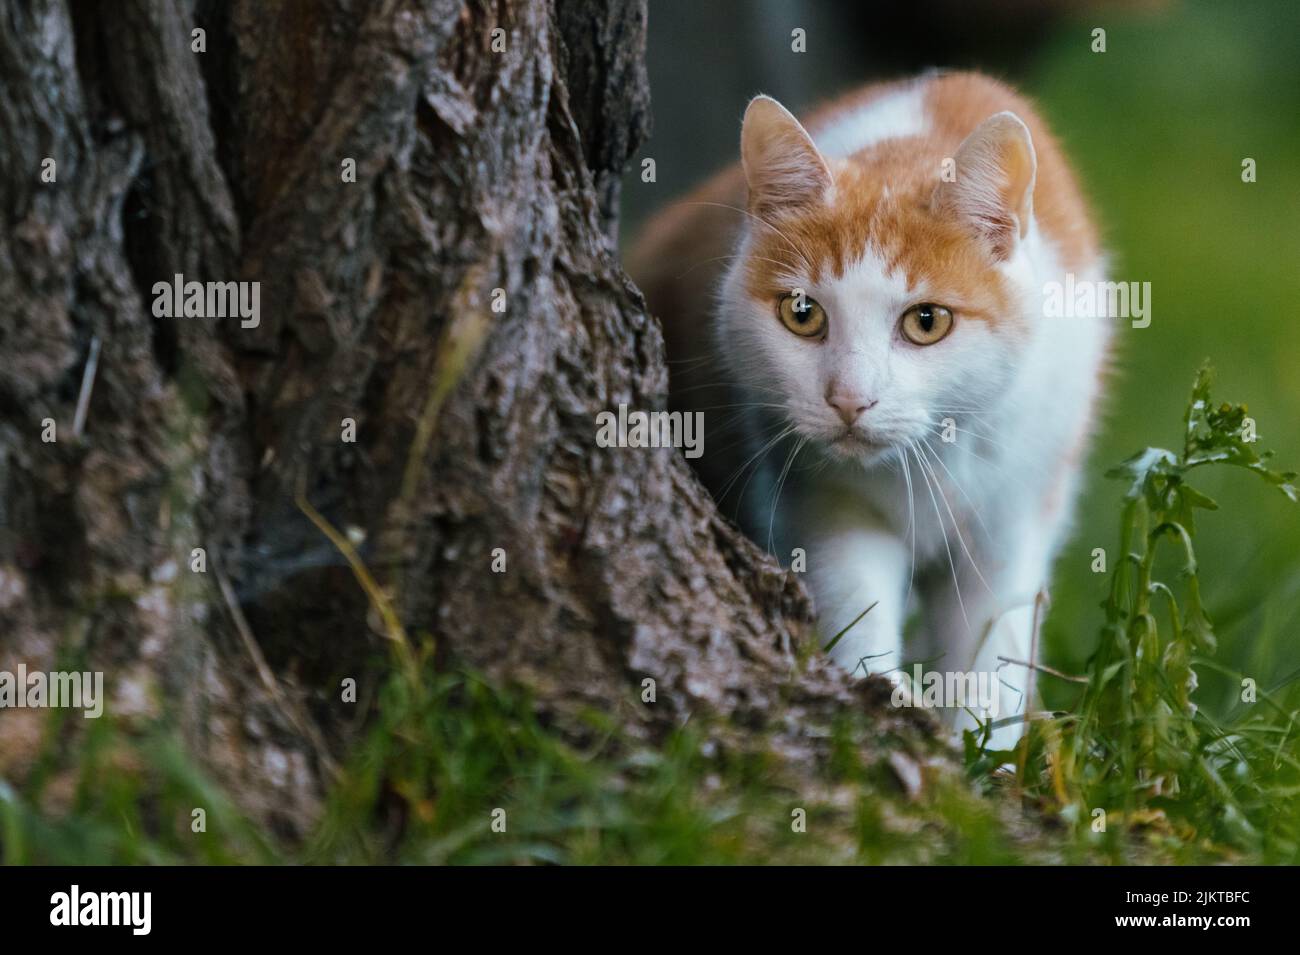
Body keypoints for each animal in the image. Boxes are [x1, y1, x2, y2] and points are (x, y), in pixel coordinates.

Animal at [629, 74, 1107, 748]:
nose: (850, 399)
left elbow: (993, 647)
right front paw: (880, 699)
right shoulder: (820, 498)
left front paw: (985, 749)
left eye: (927, 321)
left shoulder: (1013, 511)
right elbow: (853, 592)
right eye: (802, 313)